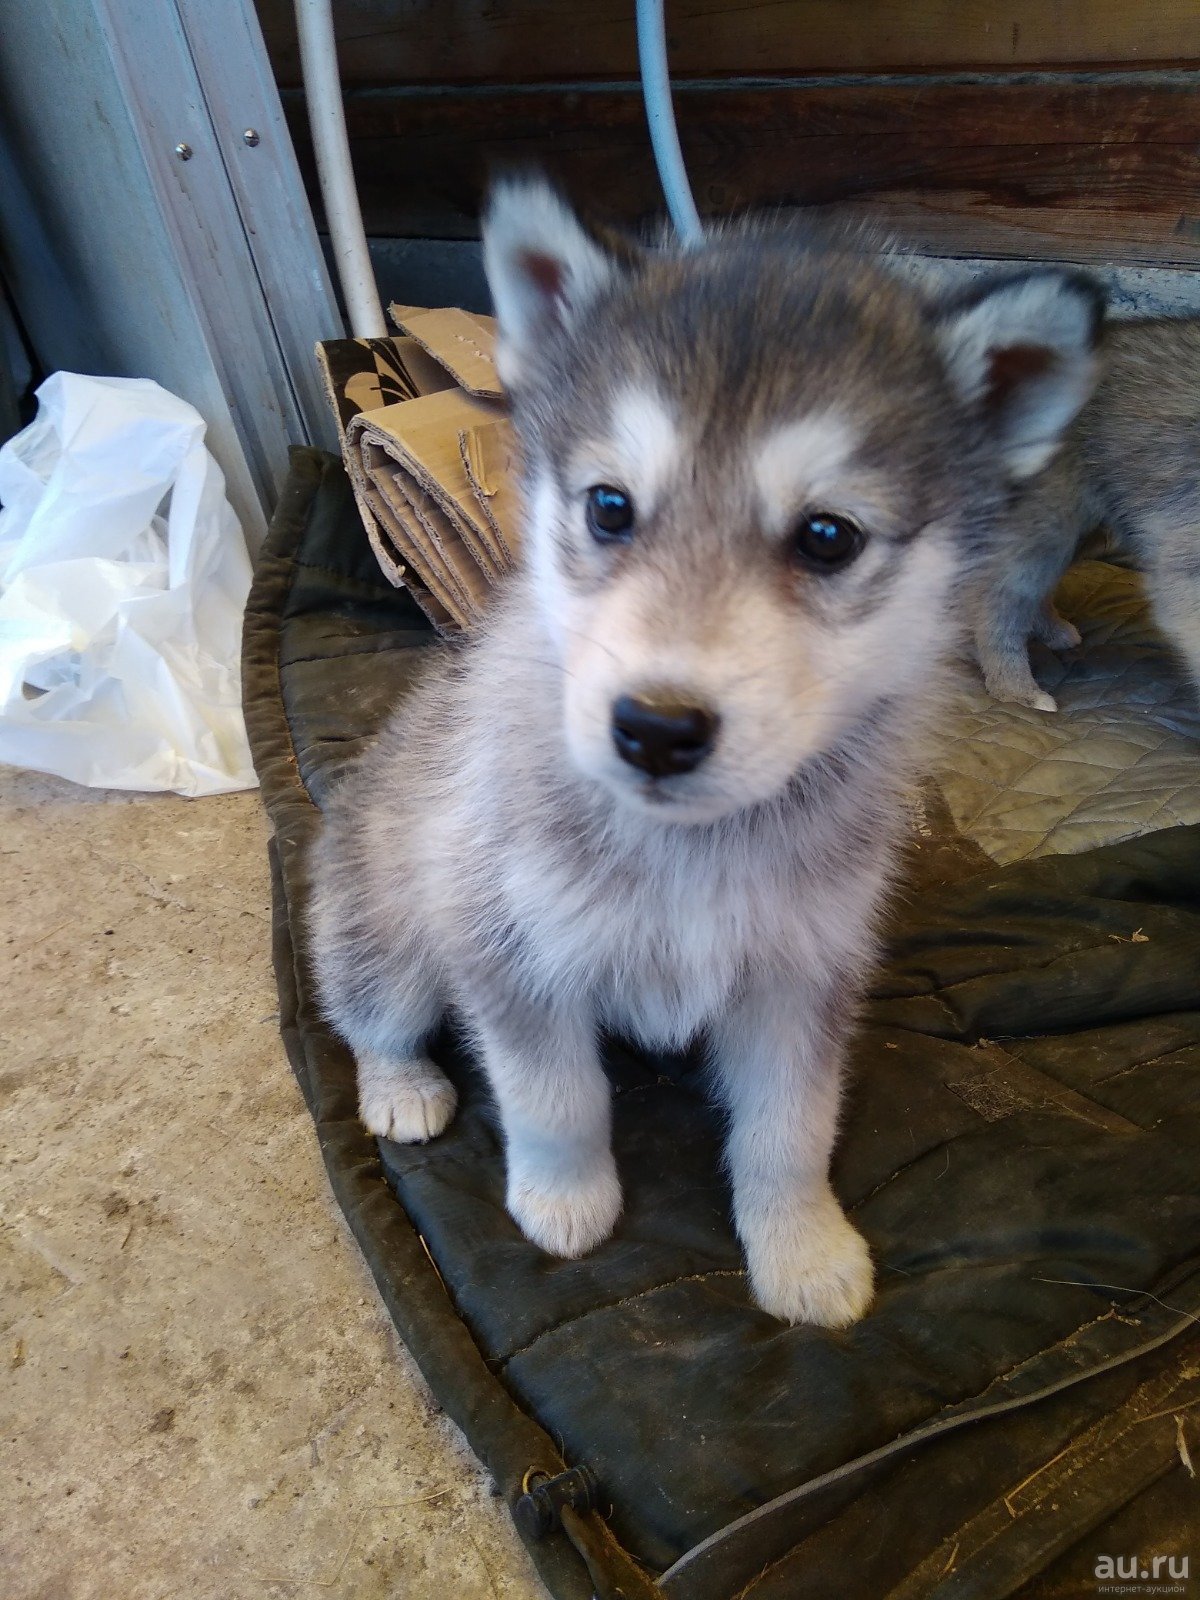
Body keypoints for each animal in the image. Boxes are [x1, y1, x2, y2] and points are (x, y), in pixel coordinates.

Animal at [312, 178, 1107, 1324]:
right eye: (609, 506)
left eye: (828, 537)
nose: (654, 725)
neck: (687, 845)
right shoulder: (512, 947)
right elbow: (555, 1096)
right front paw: (564, 1199)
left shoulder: (801, 976)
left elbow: (791, 1129)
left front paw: (801, 1249)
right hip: (396, 916)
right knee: (372, 1011)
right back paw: (403, 1088)